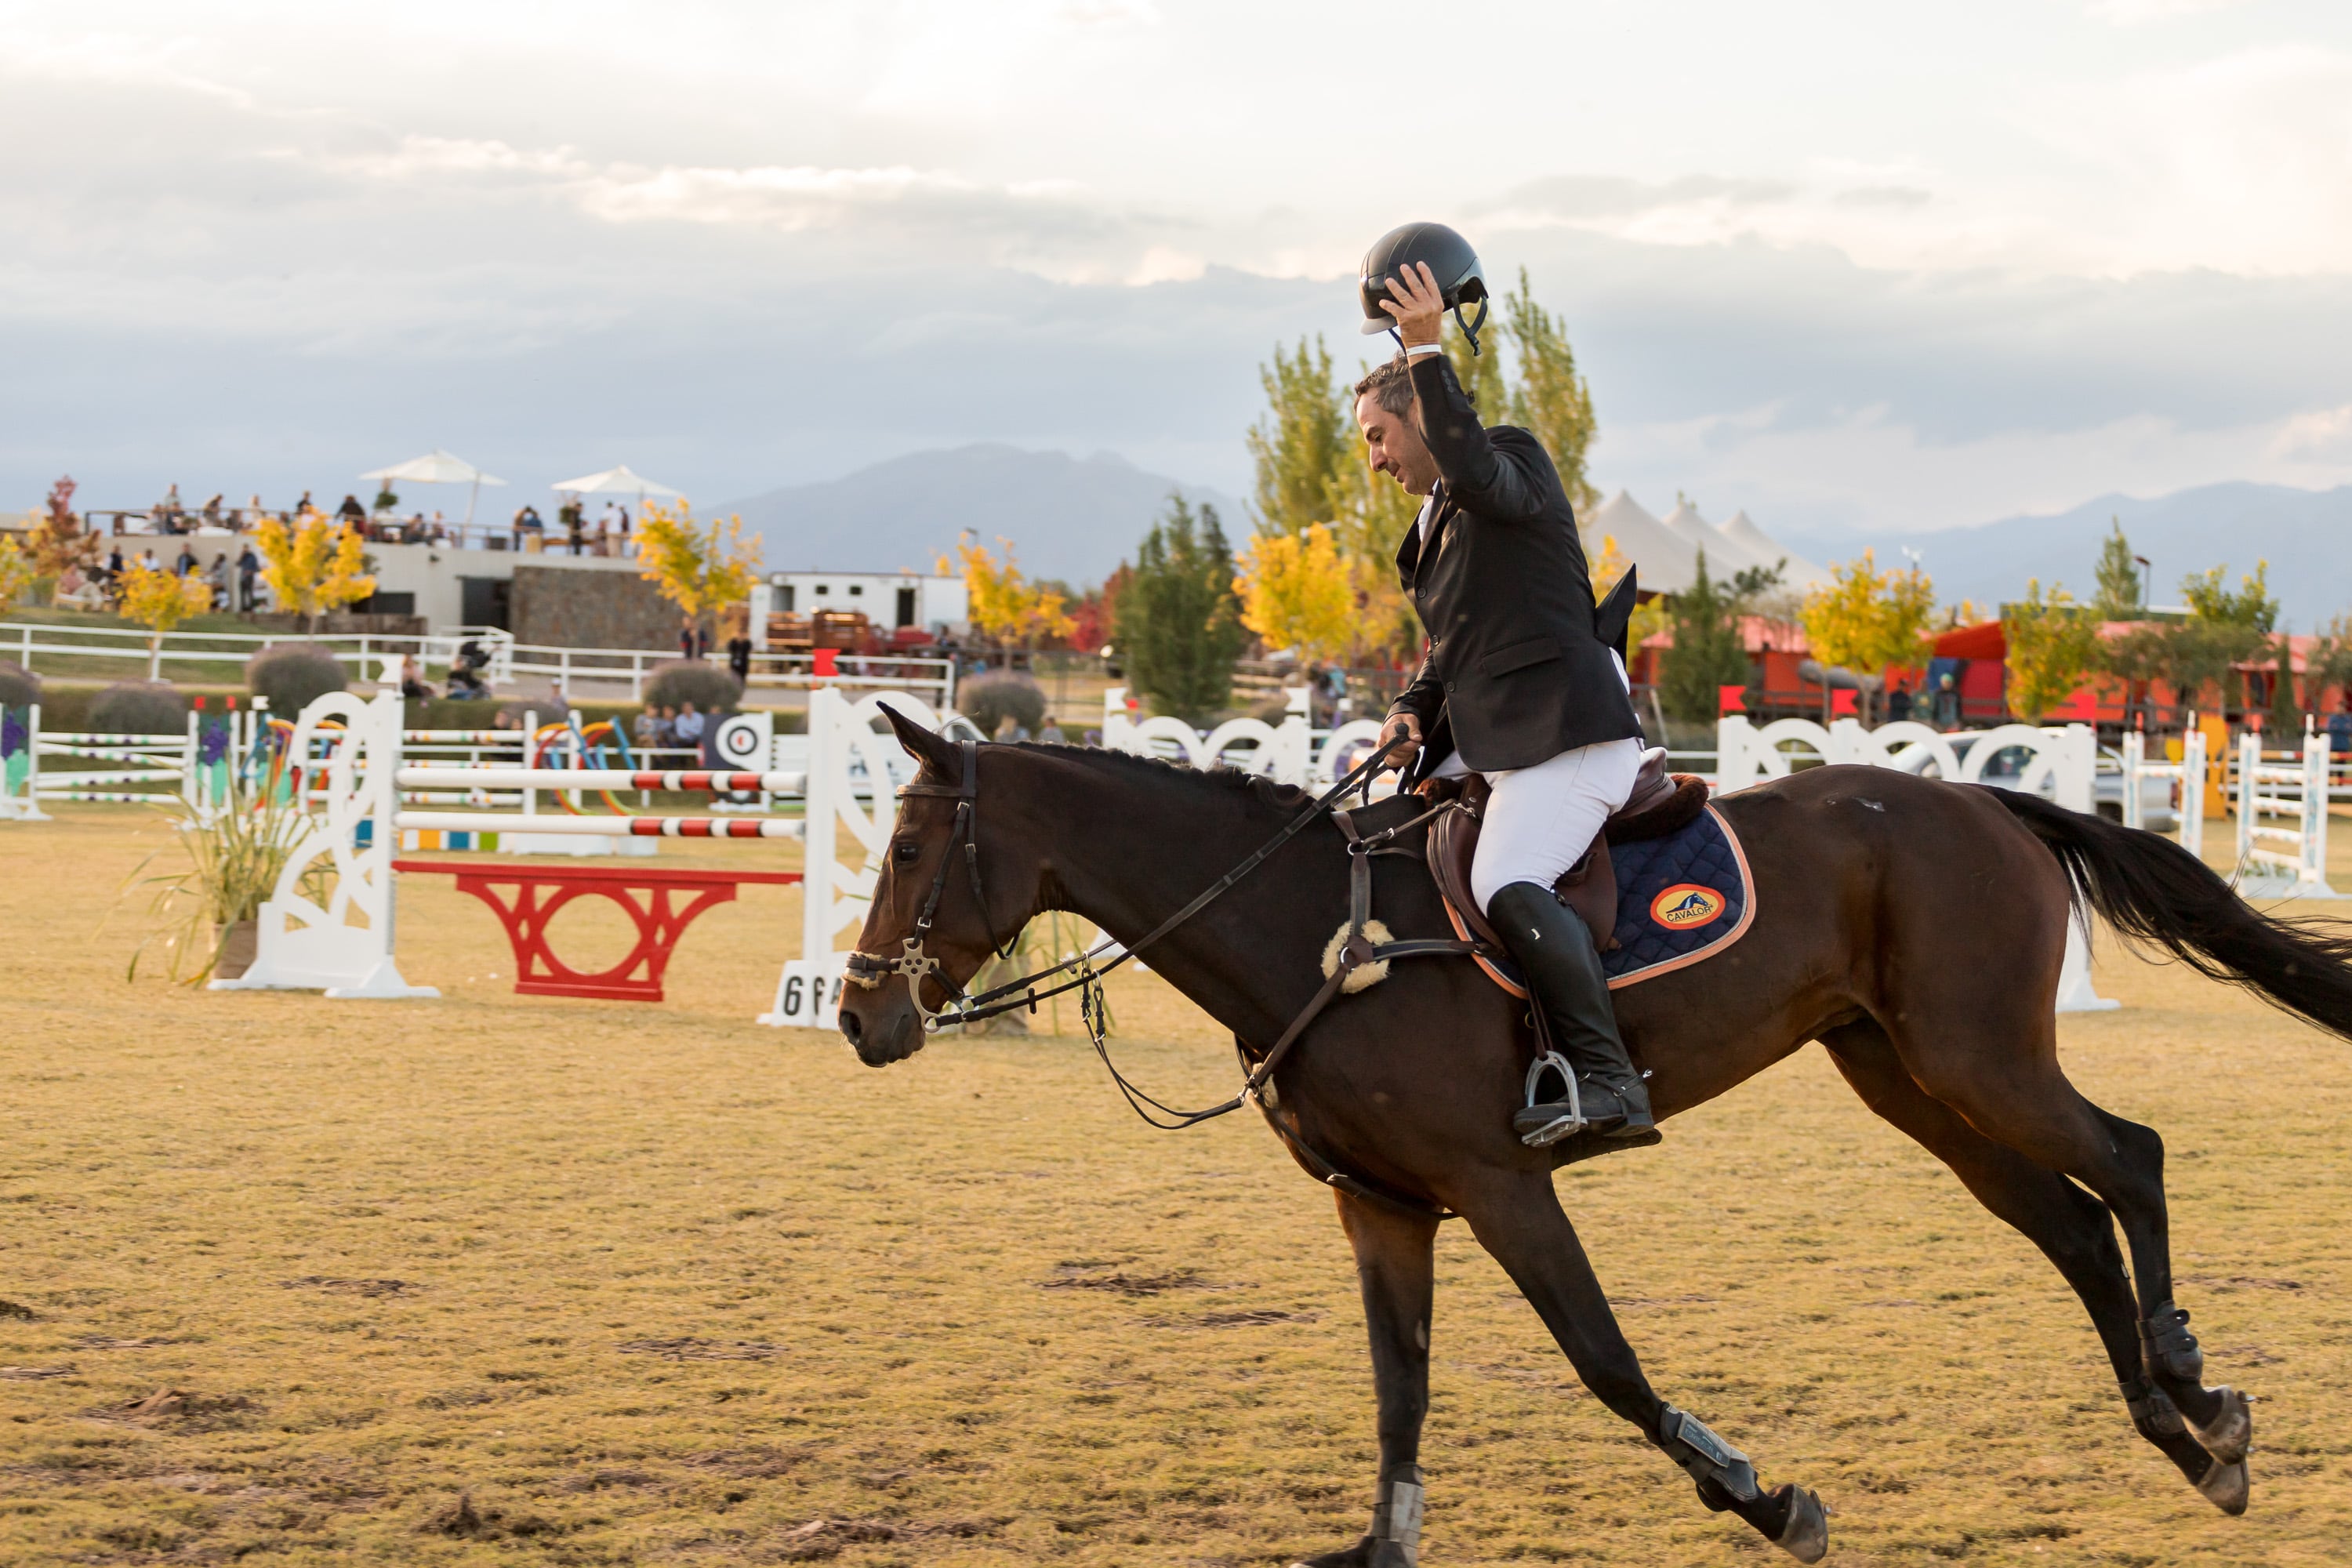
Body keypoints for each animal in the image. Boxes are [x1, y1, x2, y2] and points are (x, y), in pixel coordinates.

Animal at [833, 714, 2352, 1568]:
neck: (1311, 940)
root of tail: (1988, 801)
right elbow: (1399, 1398)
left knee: (2133, 1159)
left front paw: (1764, 1498)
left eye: (907, 851)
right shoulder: (1384, 1206)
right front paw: (1382, 1542)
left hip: (1982, 1058)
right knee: (2072, 1224)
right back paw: (2191, 1441)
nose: (857, 1018)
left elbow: (1607, 1365)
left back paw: (2194, 1384)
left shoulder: (1499, 1184)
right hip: (1916, 1083)